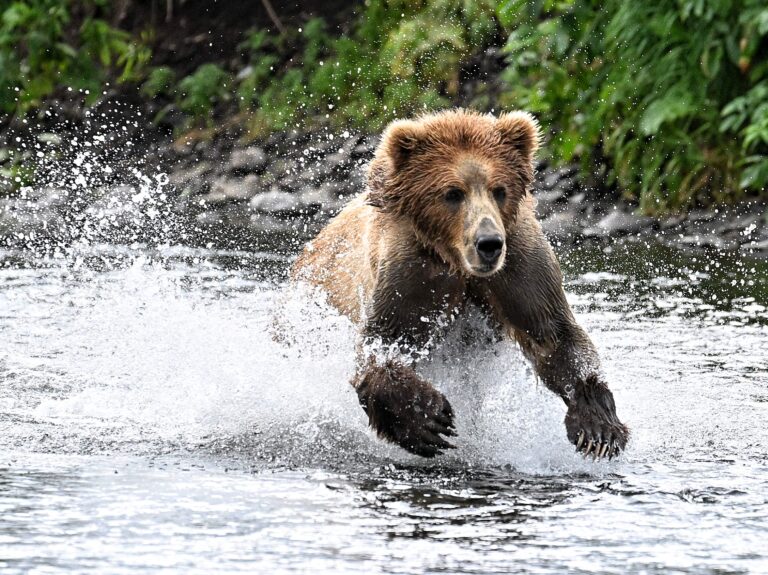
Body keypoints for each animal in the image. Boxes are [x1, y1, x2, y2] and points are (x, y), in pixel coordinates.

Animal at [292, 109, 629, 459]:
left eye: (499, 189)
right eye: (453, 193)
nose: (489, 243)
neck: (456, 261)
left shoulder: (518, 266)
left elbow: (553, 335)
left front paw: (598, 429)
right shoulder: (408, 271)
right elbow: (383, 341)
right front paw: (427, 419)